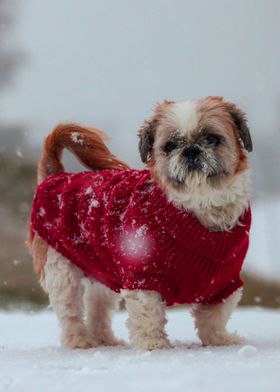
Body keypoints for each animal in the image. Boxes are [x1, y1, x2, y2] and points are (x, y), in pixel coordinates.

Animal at [28, 96, 252, 350]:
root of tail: (55, 176)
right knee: (70, 312)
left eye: (213, 138)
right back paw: (79, 341)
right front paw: (153, 344)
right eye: (170, 146)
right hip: (60, 269)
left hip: (103, 271)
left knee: (98, 308)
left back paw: (105, 340)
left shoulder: (224, 283)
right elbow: (149, 313)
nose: (191, 150)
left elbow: (215, 316)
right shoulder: (144, 275)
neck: (197, 208)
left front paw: (220, 340)